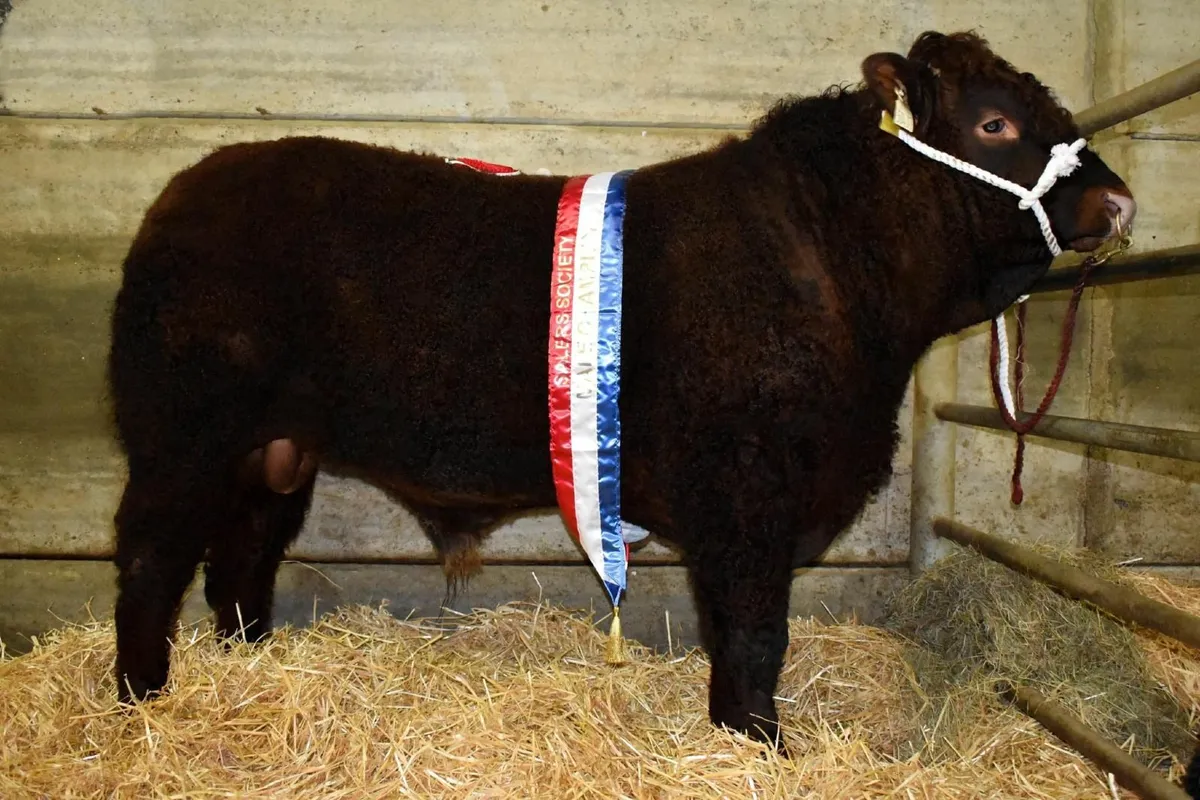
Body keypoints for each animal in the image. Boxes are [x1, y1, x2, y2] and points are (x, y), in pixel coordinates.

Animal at [105, 30, 1136, 751]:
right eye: (996, 122)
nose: (1119, 202)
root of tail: (184, 190)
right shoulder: (748, 497)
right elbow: (755, 635)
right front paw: (761, 745)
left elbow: (739, 637)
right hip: (180, 436)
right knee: (153, 557)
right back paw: (140, 697)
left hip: (273, 453)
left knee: (242, 558)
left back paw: (246, 665)